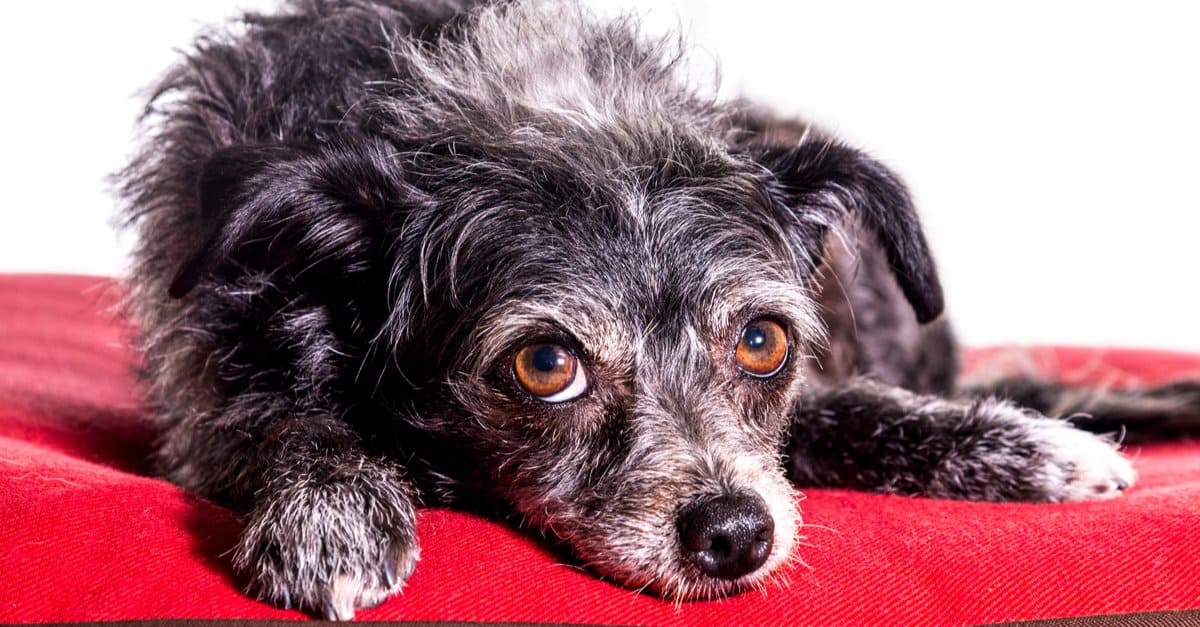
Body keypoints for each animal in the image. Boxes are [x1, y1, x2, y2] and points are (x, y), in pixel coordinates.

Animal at [114, 0, 1200, 614]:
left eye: (762, 341)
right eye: (545, 364)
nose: (735, 535)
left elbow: (846, 413)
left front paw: (1025, 449)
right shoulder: (207, 400)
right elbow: (289, 417)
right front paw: (330, 508)